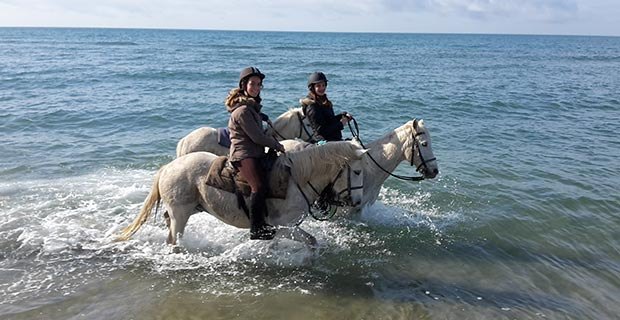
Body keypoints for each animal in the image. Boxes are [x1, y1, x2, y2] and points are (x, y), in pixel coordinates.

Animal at [115, 140, 366, 248]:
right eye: (357, 171)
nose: (357, 201)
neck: (297, 179)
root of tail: (168, 167)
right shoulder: (283, 226)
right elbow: (311, 241)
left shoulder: (282, 229)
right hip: (181, 213)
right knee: (174, 237)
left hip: (193, 208)